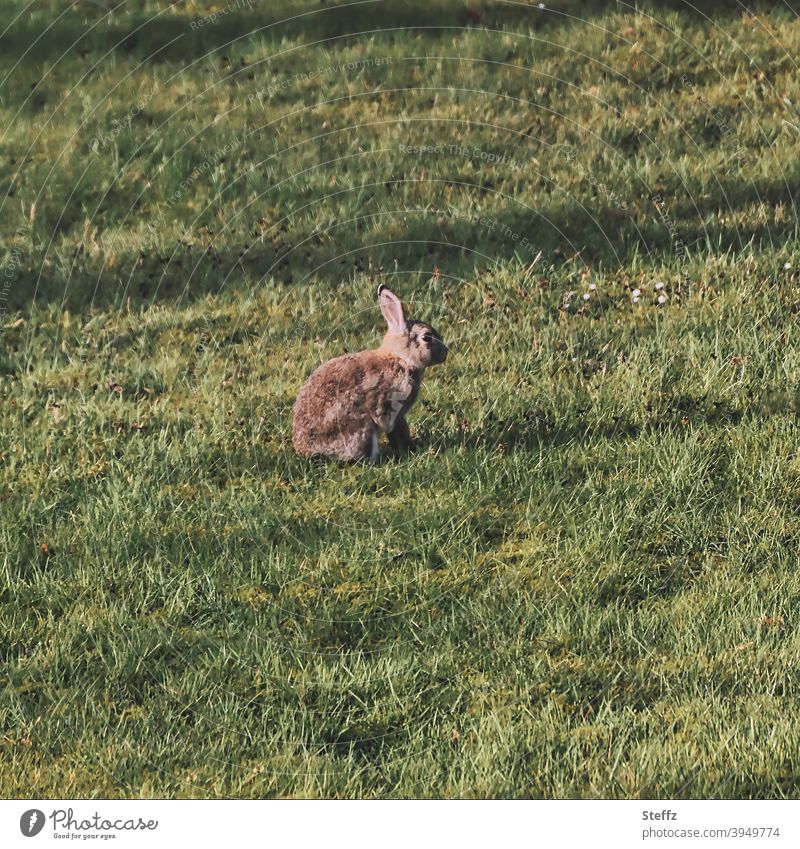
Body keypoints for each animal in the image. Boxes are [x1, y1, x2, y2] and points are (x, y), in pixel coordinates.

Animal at [290, 284, 446, 460]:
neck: (401, 358)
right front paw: (408, 448)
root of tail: (307, 451)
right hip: (361, 429)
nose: (445, 352)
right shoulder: (393, 408)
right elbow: (397, 428)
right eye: (427, 337)